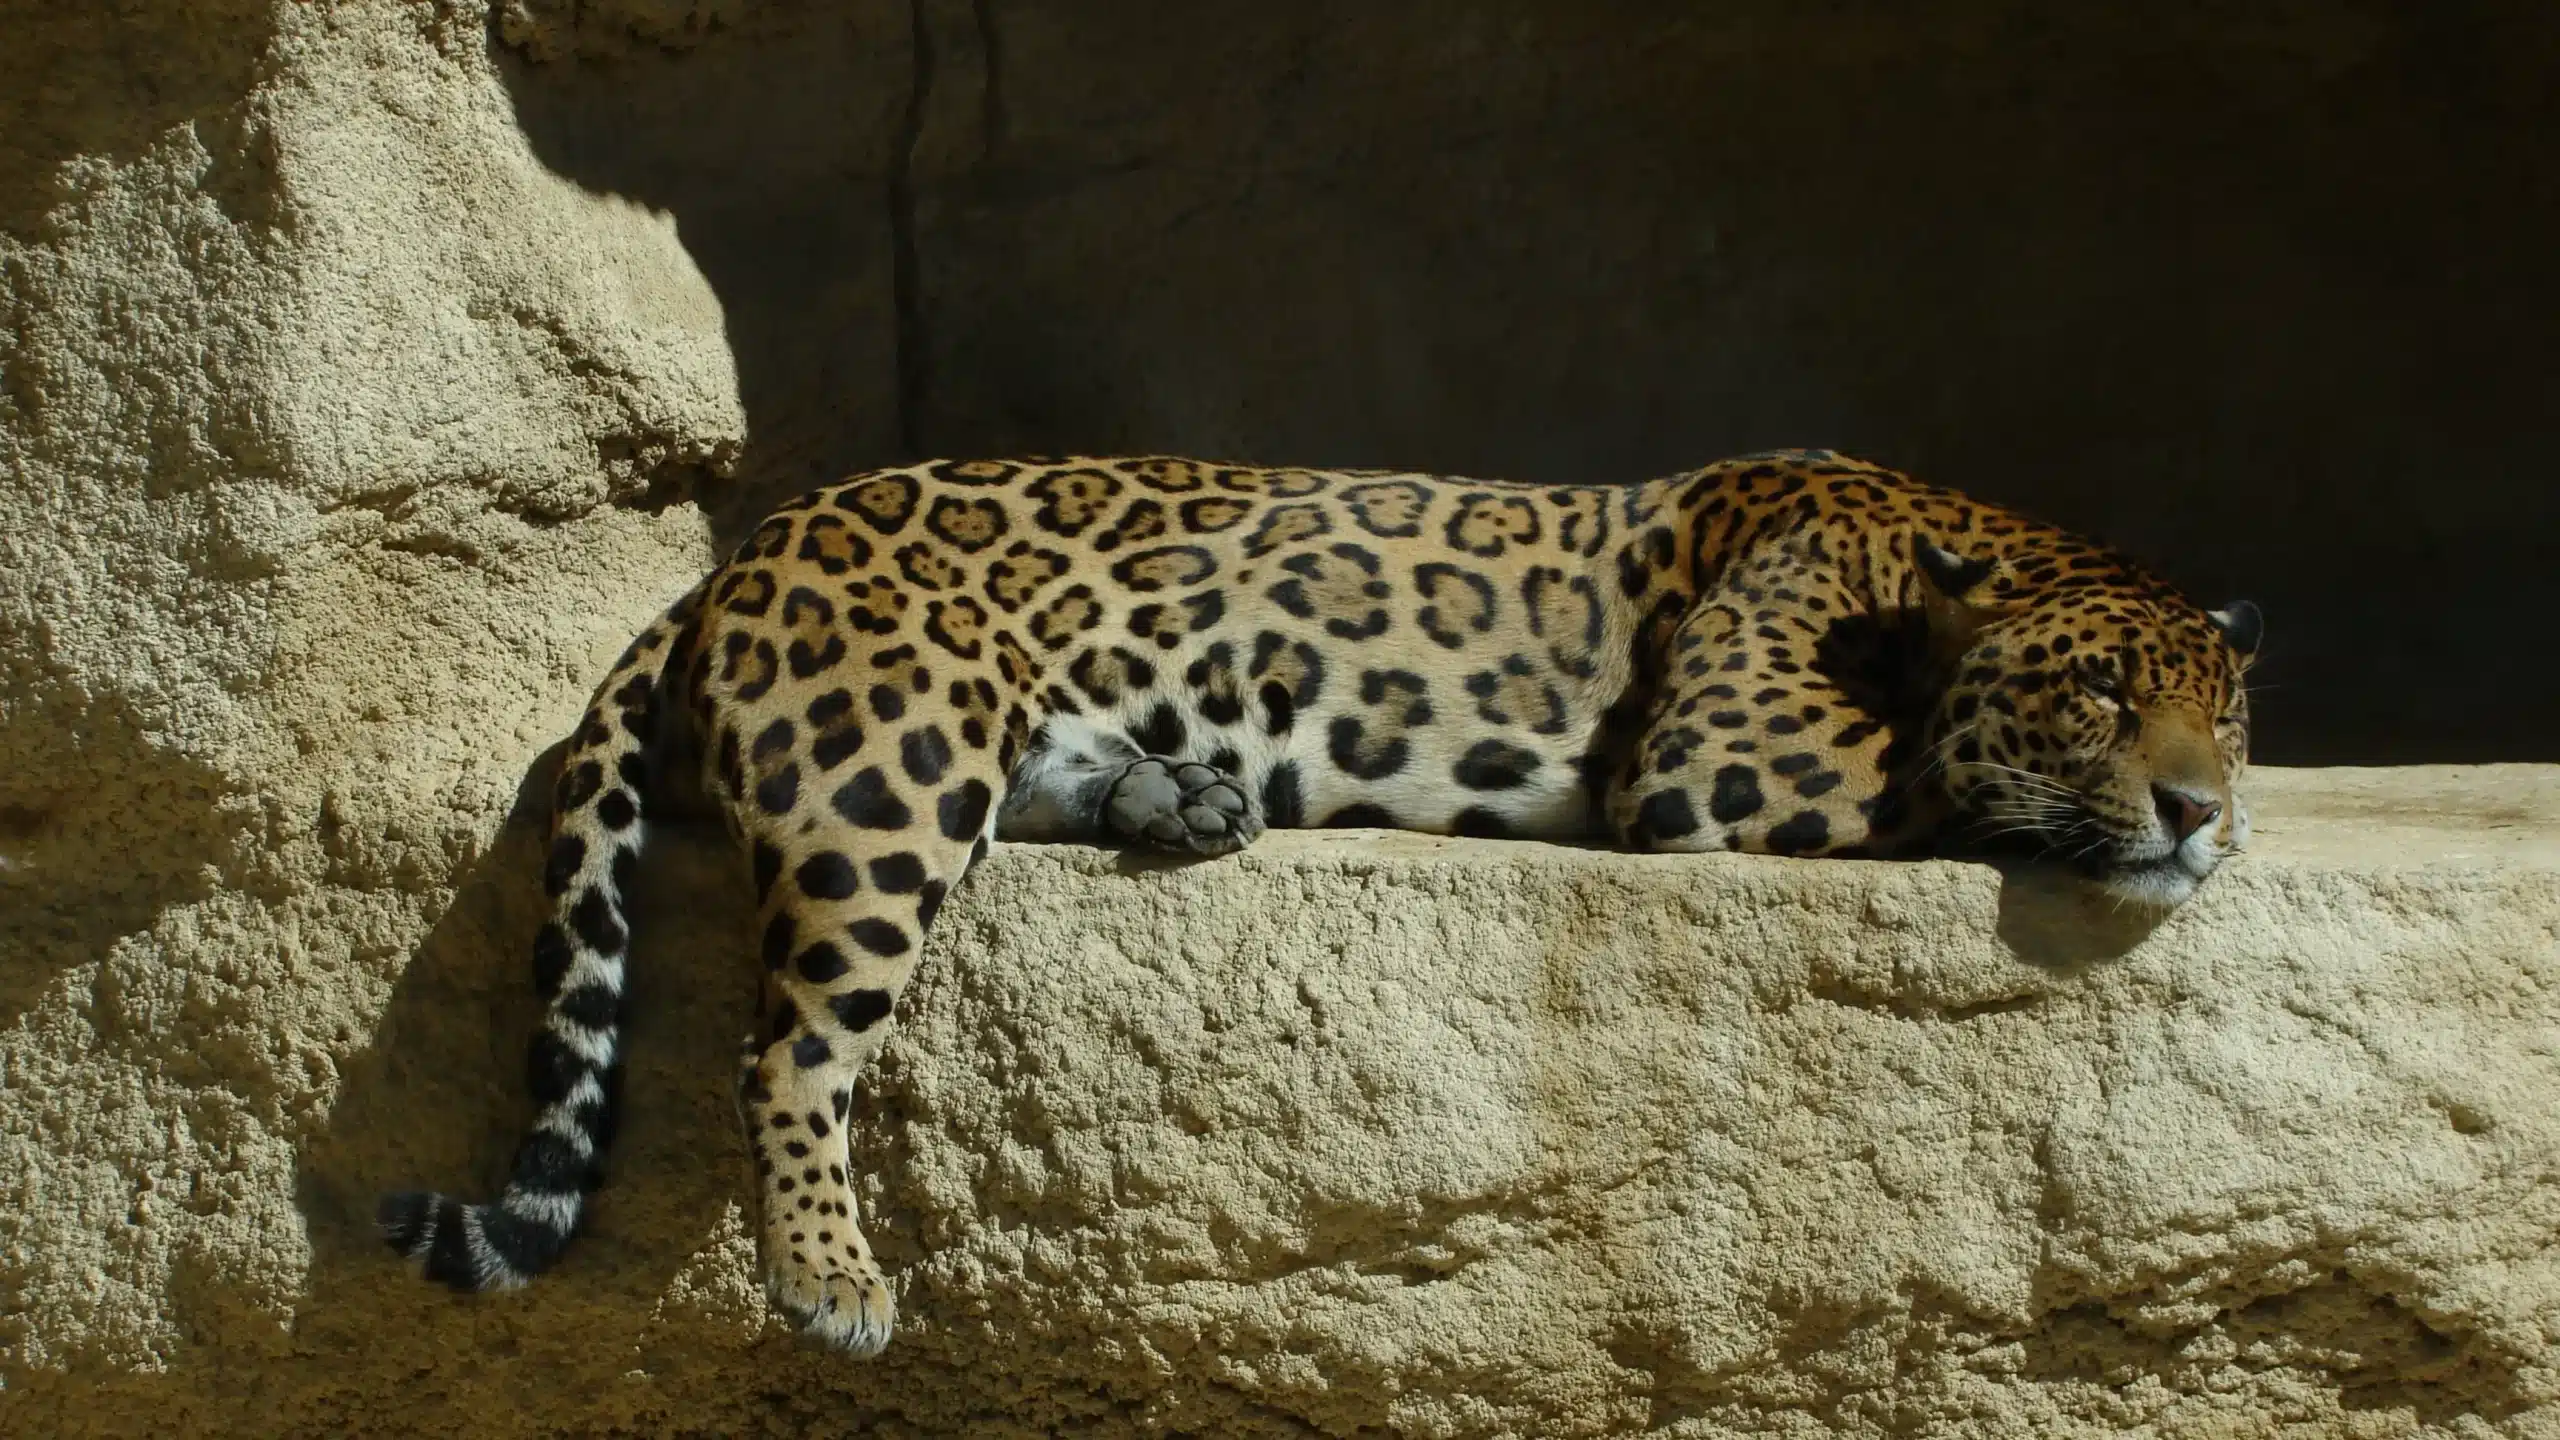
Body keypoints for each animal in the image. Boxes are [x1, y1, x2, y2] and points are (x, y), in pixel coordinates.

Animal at [381, 448, 2262, 1355]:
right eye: (2097, 694)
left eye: (2227, 712)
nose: (2199, 805)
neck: (1911, 551)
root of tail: (741, 549)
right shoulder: (1727, 747)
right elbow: (1935, 765)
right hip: (884, 776)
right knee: (786, 1048)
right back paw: (831, 1277)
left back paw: (1178, 791)